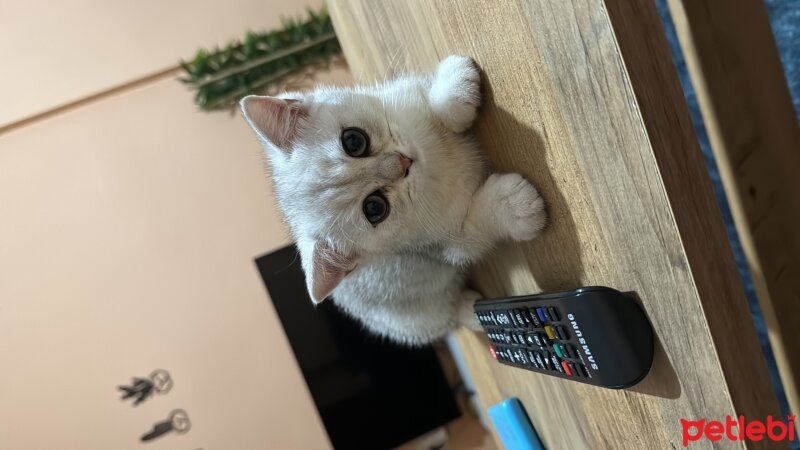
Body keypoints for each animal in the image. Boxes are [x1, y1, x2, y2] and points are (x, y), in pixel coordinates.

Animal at [241, 55, 548, 344]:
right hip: (415, 319)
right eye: (375, 207)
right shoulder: (446, 244)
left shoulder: (398, 96)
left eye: (353, 141)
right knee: (449, 318)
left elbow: (431, 101)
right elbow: (476, 227)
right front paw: (514, 206)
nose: (403, 163)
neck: (435, 161)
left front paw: (455, 85)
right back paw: (476, 314)